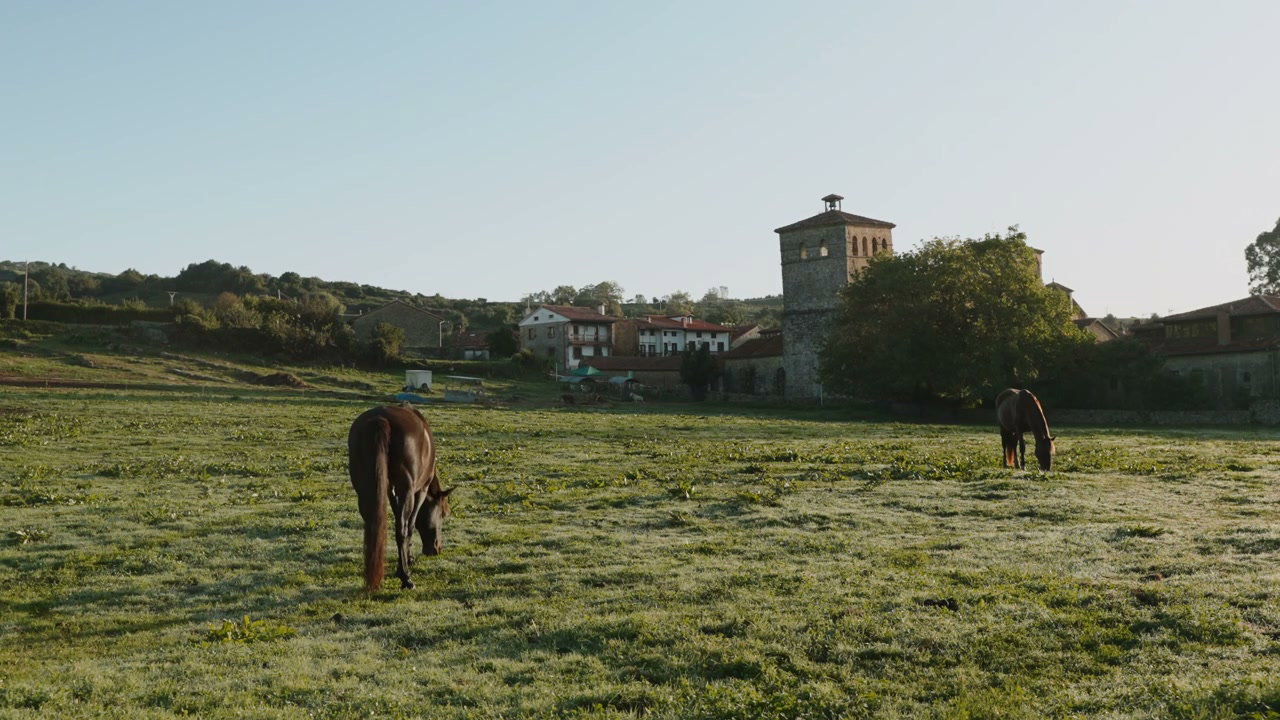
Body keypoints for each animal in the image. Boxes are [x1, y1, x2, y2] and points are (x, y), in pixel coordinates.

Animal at [348, 405, 454, 591]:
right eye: (443, 514)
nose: (436, 549)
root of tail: (380, 419)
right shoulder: (419, 491)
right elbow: (410, 526)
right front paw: (407, 561)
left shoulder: (391, 491)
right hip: (408, 491)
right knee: (402, 529)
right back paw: (406, 578)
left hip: (364, 489)